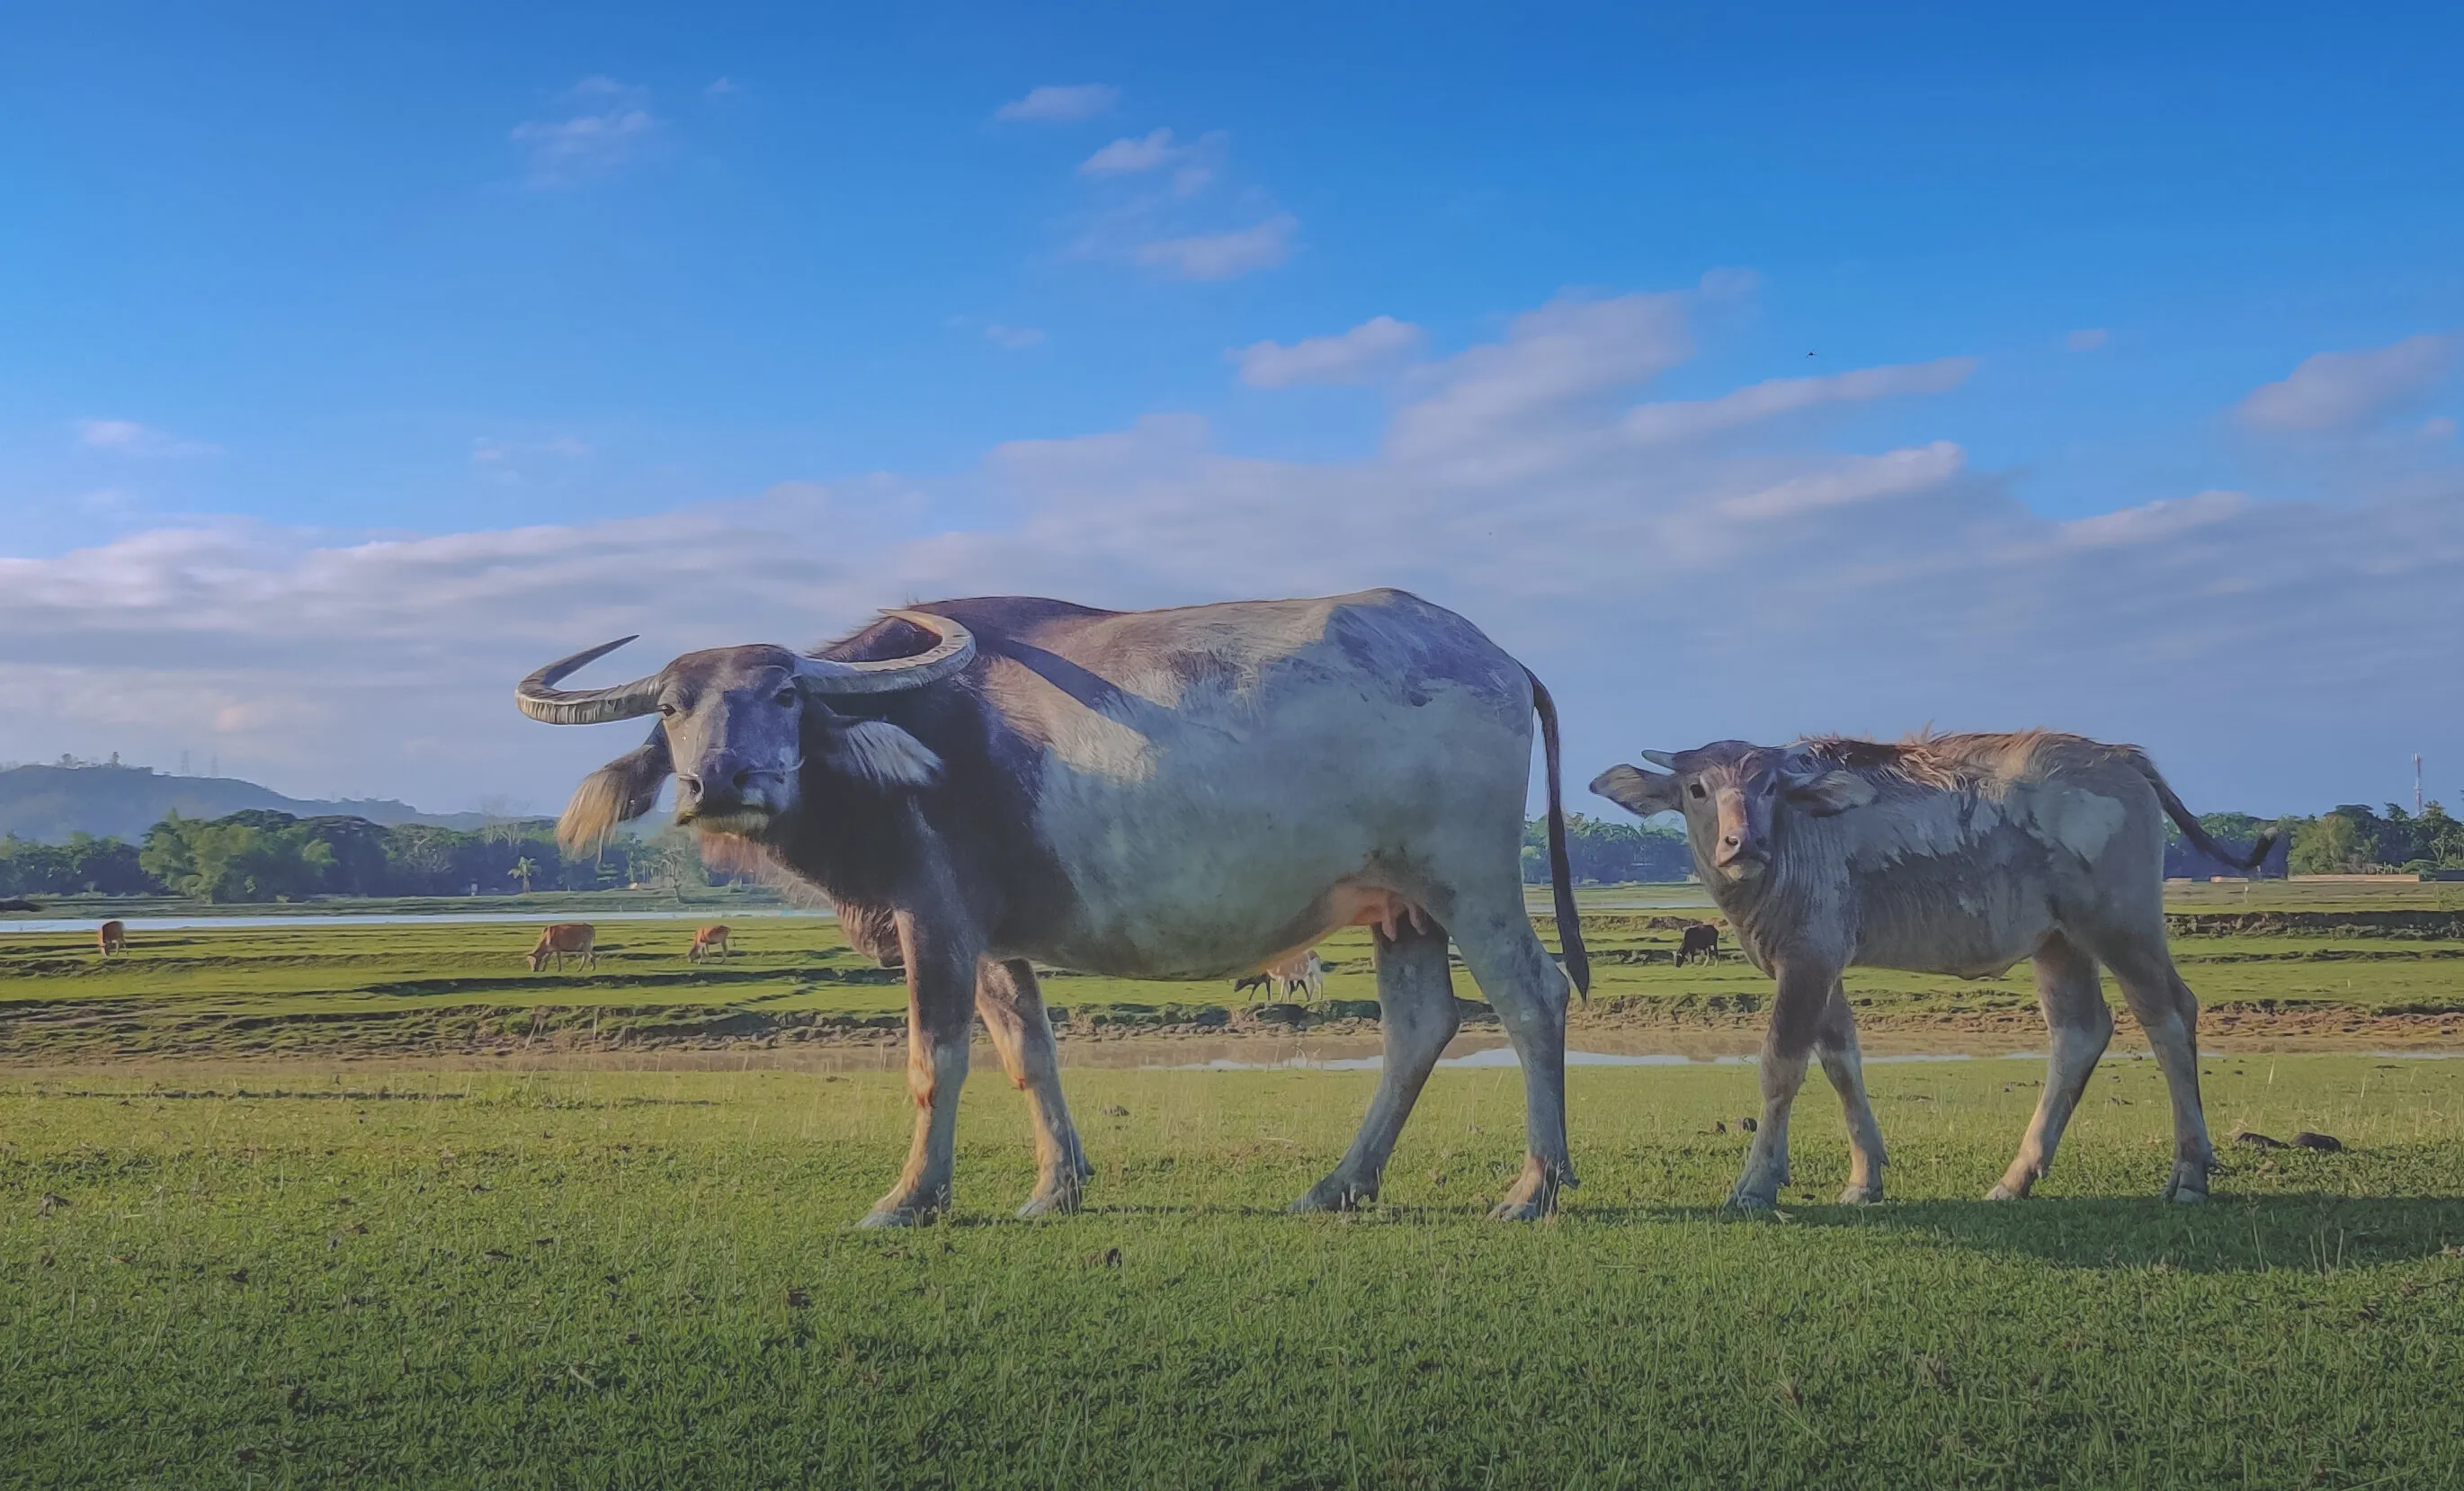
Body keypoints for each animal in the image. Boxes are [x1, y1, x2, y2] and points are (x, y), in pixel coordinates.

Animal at [516, 589, 1590, 1226]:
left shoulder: (935, 923)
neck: (899, 744)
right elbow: (1029, 1055)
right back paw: (1338, 1185)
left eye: (785, 695)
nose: (719, 782)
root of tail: (1497, 657)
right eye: (671, 707)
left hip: (1470, 880)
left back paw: (1533, 1187)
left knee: (1532, 999)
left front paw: (910, 1197)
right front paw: (1054, 1188)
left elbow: (935, 1062)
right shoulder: (994, 943)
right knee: (1421, 1024)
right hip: (1399, 904)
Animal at [1592, 731, 2272, 1209]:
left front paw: (1757, 1182)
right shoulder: (1827, 961)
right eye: (1698, 790)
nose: (1744, 843)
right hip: (2058, 940)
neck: (1792, 848)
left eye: (1768, 789)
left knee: (2168, 1014)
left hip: (2121, 924)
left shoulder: (1807, 957)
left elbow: (1781, 1066)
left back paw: (2190, 1171)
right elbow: (1841, 1062)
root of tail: (2122, 757)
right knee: (2080, 1031)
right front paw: (1864, 1178)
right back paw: (2016, 1178)